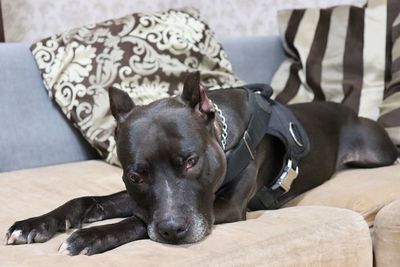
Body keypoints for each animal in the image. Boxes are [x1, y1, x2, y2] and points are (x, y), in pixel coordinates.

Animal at [3, 72, 396, 256]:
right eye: (135, 175)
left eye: (191, 161)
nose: (172, 230)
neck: (225, 135)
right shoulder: (140, 197)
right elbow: (87, 201)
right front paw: (35, 224)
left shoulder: (228, 208)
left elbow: (137, 221)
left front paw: (91, 236)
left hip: (379, 153)